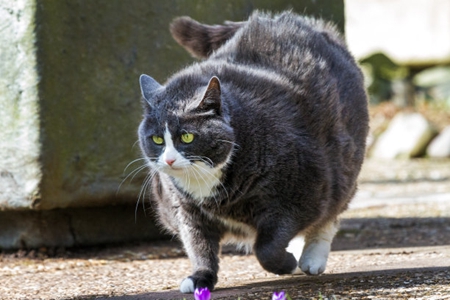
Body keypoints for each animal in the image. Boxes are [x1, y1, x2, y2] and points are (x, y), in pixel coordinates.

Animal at [138, 11, 370, 292]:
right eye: (157, 139)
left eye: (187, 136)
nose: (170, 160)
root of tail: (287, 20)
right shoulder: (185, 209)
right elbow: (198, 245)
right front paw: (200, 278)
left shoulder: (300, 193)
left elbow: (267, 247)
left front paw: (287, 263)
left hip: (343, 163)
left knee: (331, 212)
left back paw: (311, 259)